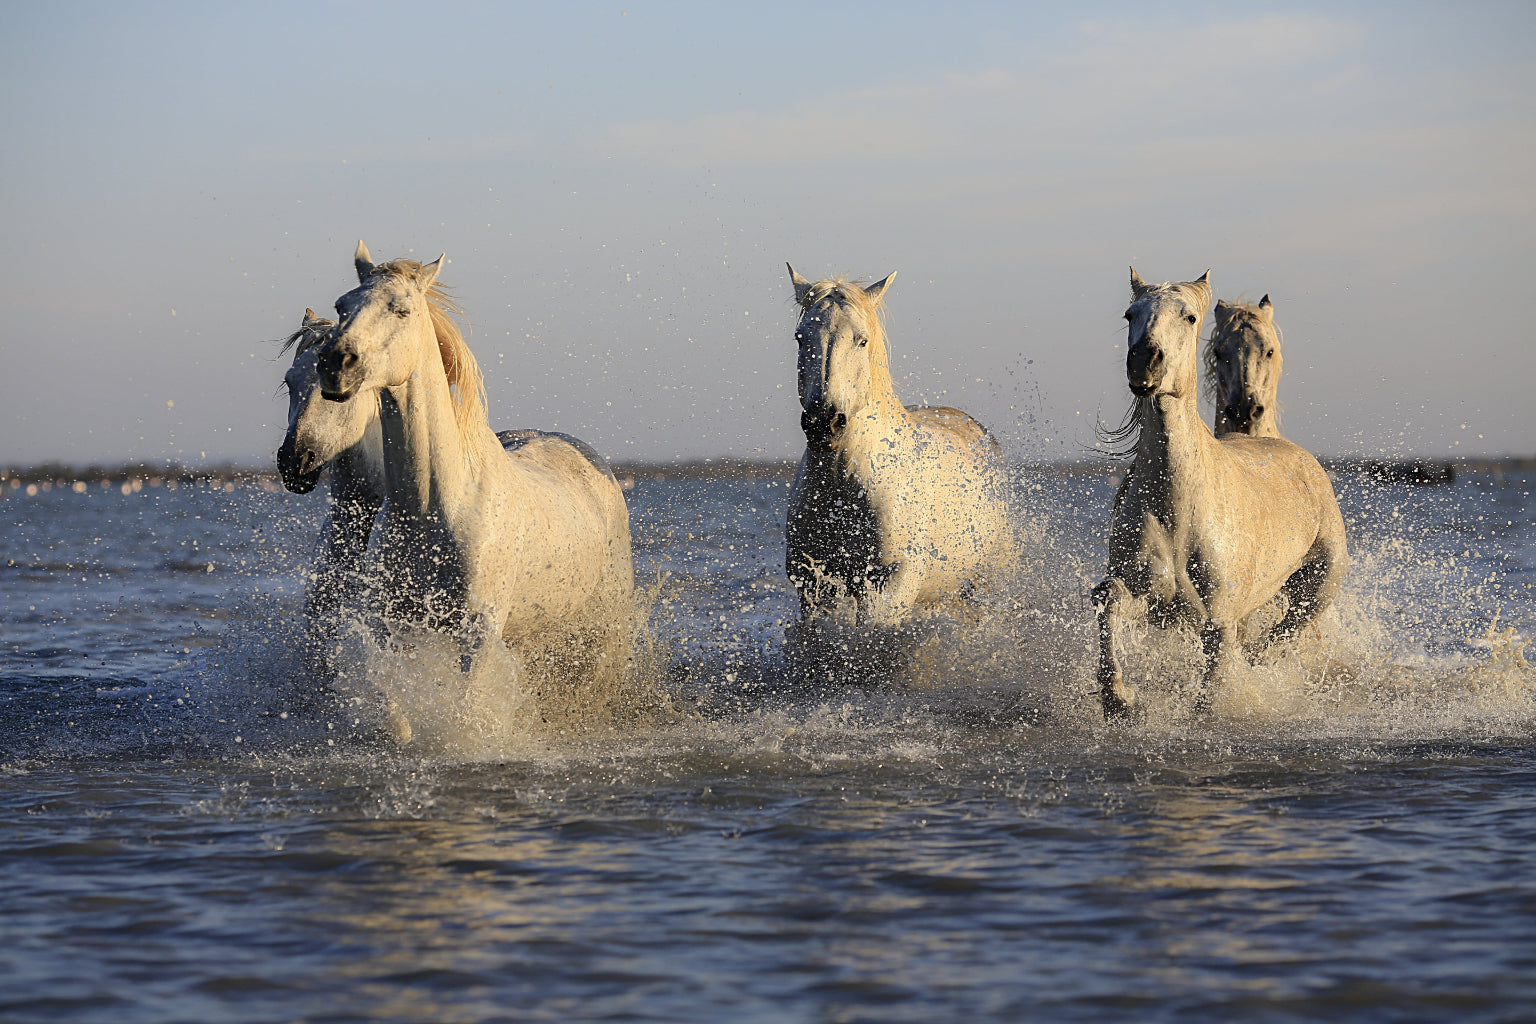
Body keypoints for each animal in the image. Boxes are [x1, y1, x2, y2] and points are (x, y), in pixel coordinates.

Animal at [786, 264, 1013, 629]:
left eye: (862, 340)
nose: (824, 423)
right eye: (800, 337)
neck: (843, 487)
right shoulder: (814, 588)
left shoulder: (889, 586)